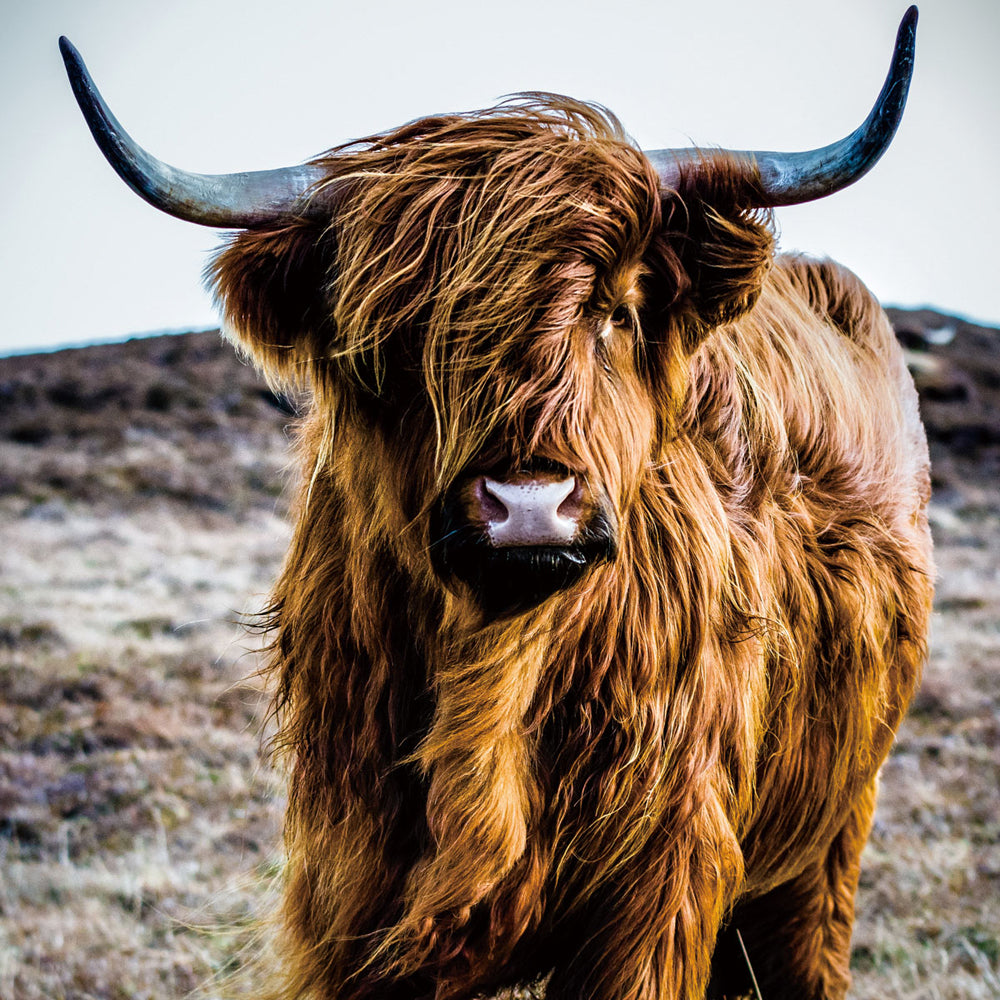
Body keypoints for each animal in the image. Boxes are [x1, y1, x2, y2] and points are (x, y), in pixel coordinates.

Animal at [61, 8, 932, 999]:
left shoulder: (660, 885)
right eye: (397, 338)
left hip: (834, 829)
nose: (529, 503)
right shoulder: (350, 884)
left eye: (617, 311)